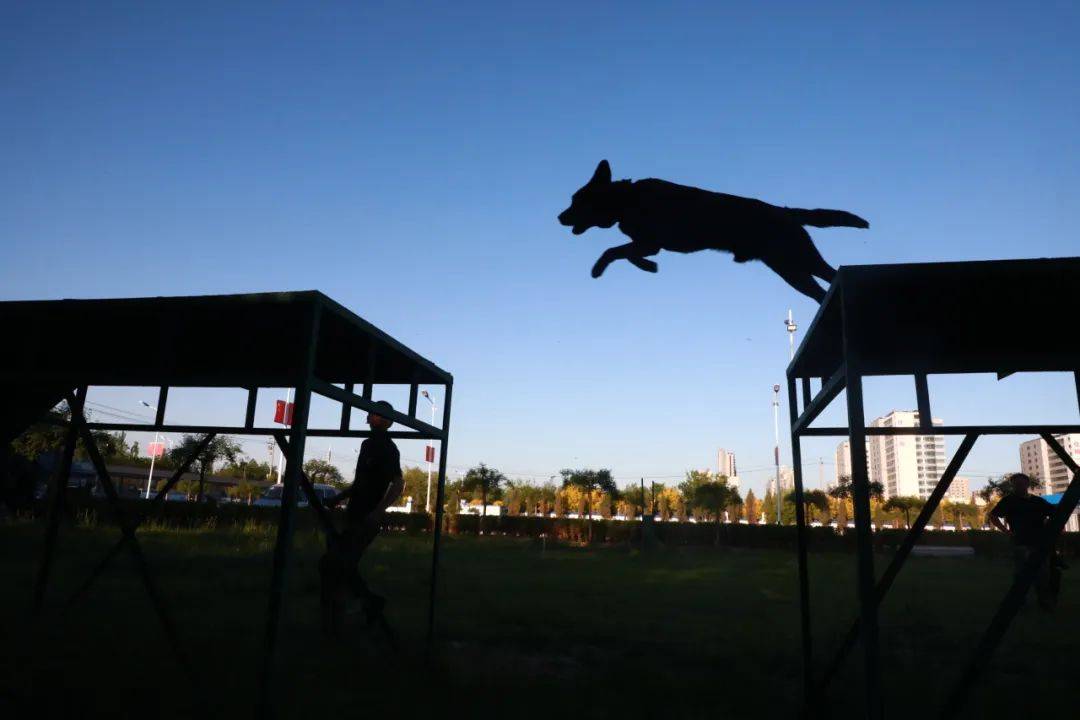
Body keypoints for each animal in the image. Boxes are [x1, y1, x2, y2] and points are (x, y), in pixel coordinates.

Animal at [557, 159, 868, 302]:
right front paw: (648, 266)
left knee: (830, 274)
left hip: (799, 260)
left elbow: (612, 251)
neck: (627, 200)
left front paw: (599, 268)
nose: (559, 217)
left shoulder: (649, 242)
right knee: (819, 290)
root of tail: (784, 210)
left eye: (576, 201)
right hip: (791, 271)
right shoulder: (648, 244)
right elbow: (627, 254)